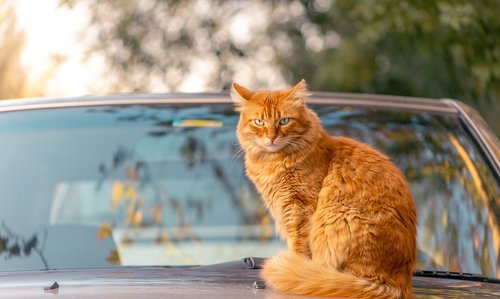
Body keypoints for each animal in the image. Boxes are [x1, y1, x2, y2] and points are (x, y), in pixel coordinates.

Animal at [232, 80, 416, 299]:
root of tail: (399, 285)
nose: (271, 138)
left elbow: (299, 247)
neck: (273, 162)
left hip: (340, 218)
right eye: (259, 122)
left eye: (284, 121)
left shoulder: (299, 207)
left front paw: (294, 266)